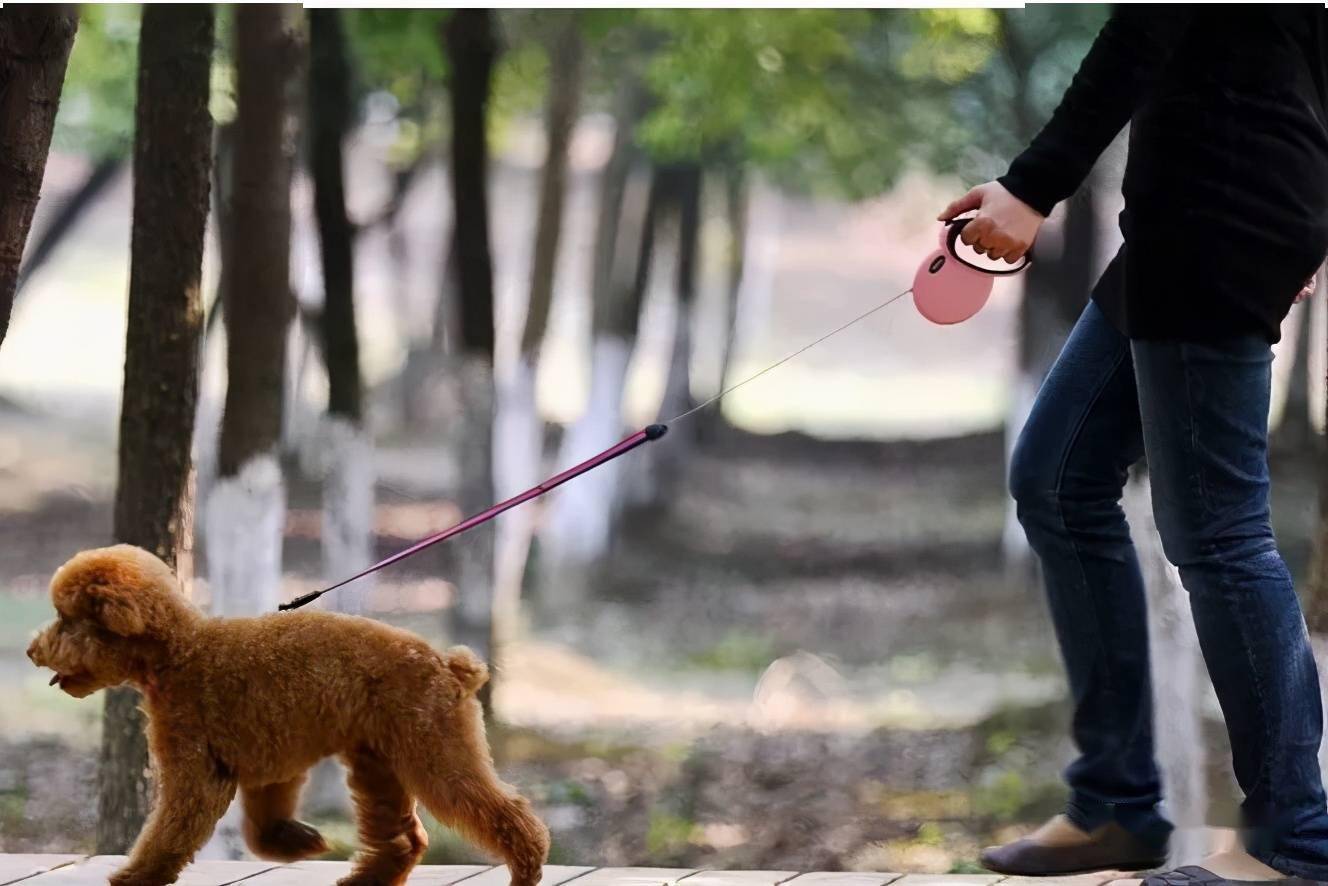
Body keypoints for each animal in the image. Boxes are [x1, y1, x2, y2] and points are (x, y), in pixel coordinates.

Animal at [27, 544, 555, 886]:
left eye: (67, 621)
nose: (33, 650)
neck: (180, 653)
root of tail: (450, 665)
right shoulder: (269, 765)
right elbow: (262, 827)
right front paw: (299, 842)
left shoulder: (197, 767)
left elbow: (173, 827)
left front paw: (137, 875)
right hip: (378, 759)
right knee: (406, 838)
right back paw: (365, 880)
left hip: (433, 747)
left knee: (501, 811)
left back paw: (526, 868)